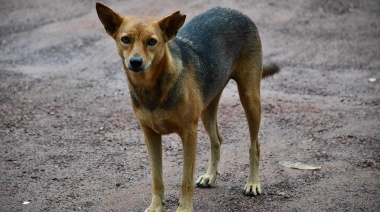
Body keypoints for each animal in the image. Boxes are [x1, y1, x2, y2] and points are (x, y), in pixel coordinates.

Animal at [95, 2, 280, 211]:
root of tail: (234, 11)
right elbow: (156, 178)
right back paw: (210, 176)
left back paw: (253, 182)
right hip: (207, 108)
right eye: (125, 39)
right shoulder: (150, 135)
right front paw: (156, 206)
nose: (135, 62)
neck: (151, 89)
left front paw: (184, 208)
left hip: (250, 98)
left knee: (254, 144)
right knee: (217, 140)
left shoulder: (189, 133)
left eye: (152, 41)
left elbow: (186, 180)